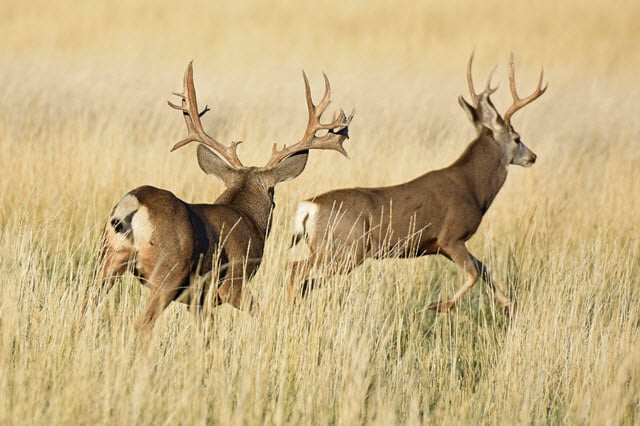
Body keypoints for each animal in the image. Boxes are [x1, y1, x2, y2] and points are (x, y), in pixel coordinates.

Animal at [82, 62, 352, 342]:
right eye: (273, 194)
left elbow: (206, 333)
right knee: (142, 323)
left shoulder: (198, 299)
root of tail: (134, 203)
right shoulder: (233, 279)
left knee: (86, 307)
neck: (245, 214)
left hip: (107, 259)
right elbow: (261, 313)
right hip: (169, 270)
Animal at [288, 53, 544, 314]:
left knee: (306, 280)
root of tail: (309, 207)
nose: (533, 156)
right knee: (296, 269)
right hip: (344, 248)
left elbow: (482, 267)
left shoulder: (440, 246)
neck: (473, 189)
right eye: (517, 138)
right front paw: (437, 306)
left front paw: (508, 304)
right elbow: (473, 273)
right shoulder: (451, 236)